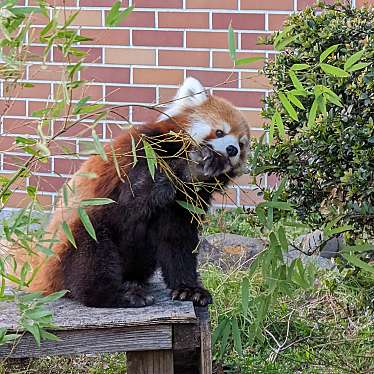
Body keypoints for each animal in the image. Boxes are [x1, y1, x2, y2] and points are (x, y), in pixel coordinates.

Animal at [9, 76, 248, 306]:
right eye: (220, 132)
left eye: (242, 144)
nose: (231, 149)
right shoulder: (139, 155)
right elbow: (134, 197)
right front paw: (197, 164)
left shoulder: (187, 202)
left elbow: (177, 242)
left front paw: (189, 289)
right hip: (72, 237)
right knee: (90, 248)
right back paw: (118, 295)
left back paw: (132, 282)